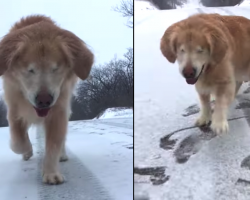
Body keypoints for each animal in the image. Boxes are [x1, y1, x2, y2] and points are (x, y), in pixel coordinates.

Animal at [0, 15, 93, 184]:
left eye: (55, 69)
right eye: (30, 70)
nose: (44, 100)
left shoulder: (58, 110)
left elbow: (54, 144)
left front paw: (51, 173)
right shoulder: (14, 107)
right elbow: (17, 141)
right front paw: (27, 150)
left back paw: (62, 155)